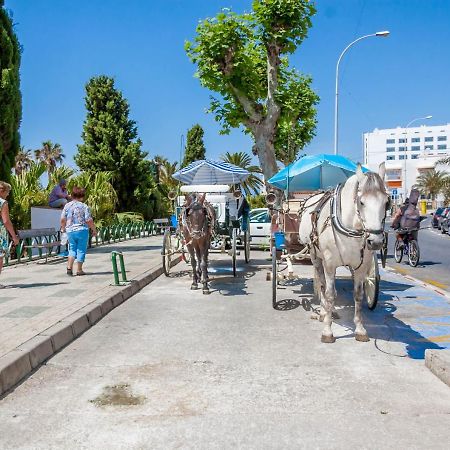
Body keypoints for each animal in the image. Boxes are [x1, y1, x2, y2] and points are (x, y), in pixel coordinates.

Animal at [298, 163, 388, 342]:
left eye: (387, 202)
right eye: (361, 202)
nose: (376, 241)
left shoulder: (361, 267)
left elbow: (358, 295)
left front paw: (360, 329)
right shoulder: (329, 264)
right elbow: (329, 293)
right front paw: (327, 330)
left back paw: (331, 311)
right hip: (315, 256)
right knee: (322, 283)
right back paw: (324, 312)